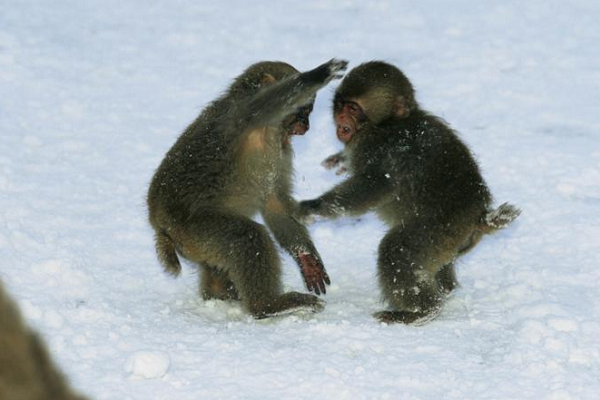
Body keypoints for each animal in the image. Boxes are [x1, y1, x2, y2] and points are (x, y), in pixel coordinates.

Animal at [146, 57, 346, 318]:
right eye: (302, 111)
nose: (306, 125)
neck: (268, 130)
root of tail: (159, 224)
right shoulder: (245, 112)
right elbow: (273, 99)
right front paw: (319, 74)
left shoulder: (280, 146)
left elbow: (274, 203)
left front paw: (306, 258)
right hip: (190, 229)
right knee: (247, 237)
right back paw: (267, 305)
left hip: (194, 243)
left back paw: (222, 296)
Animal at [300, 61, 520, 324]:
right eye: (341, 104)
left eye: (353, 108)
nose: (341, 117)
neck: (386, 122)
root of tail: (480, 215)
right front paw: (340, 160)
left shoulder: (379, 147)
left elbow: (372, 187)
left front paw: (314, 207)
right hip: (451, 241)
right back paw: (445, 290)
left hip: (441, 228)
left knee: (396, 250)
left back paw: (421, 311)